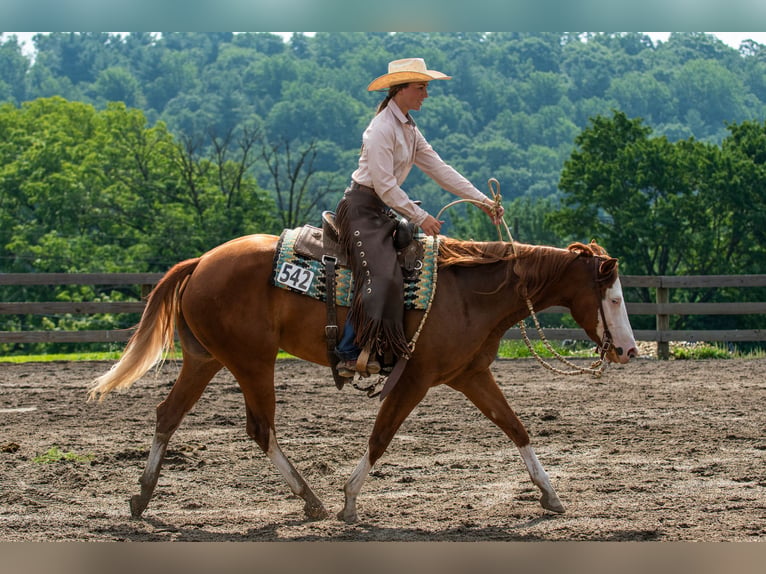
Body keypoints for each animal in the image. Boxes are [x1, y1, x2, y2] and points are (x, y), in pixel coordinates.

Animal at [88, 232, 638, 523]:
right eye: (612, 298)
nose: (628, 350)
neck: (468, 293)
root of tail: (202, 261)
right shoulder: (415, 379)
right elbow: (381, 436)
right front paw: (350, 501)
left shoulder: (470, 376)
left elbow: (516, 428)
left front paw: (551, 495)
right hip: (252, 362)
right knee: (260, 429)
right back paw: (312, 500)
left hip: (206, 360)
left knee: (169, 414)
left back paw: (142, 496)